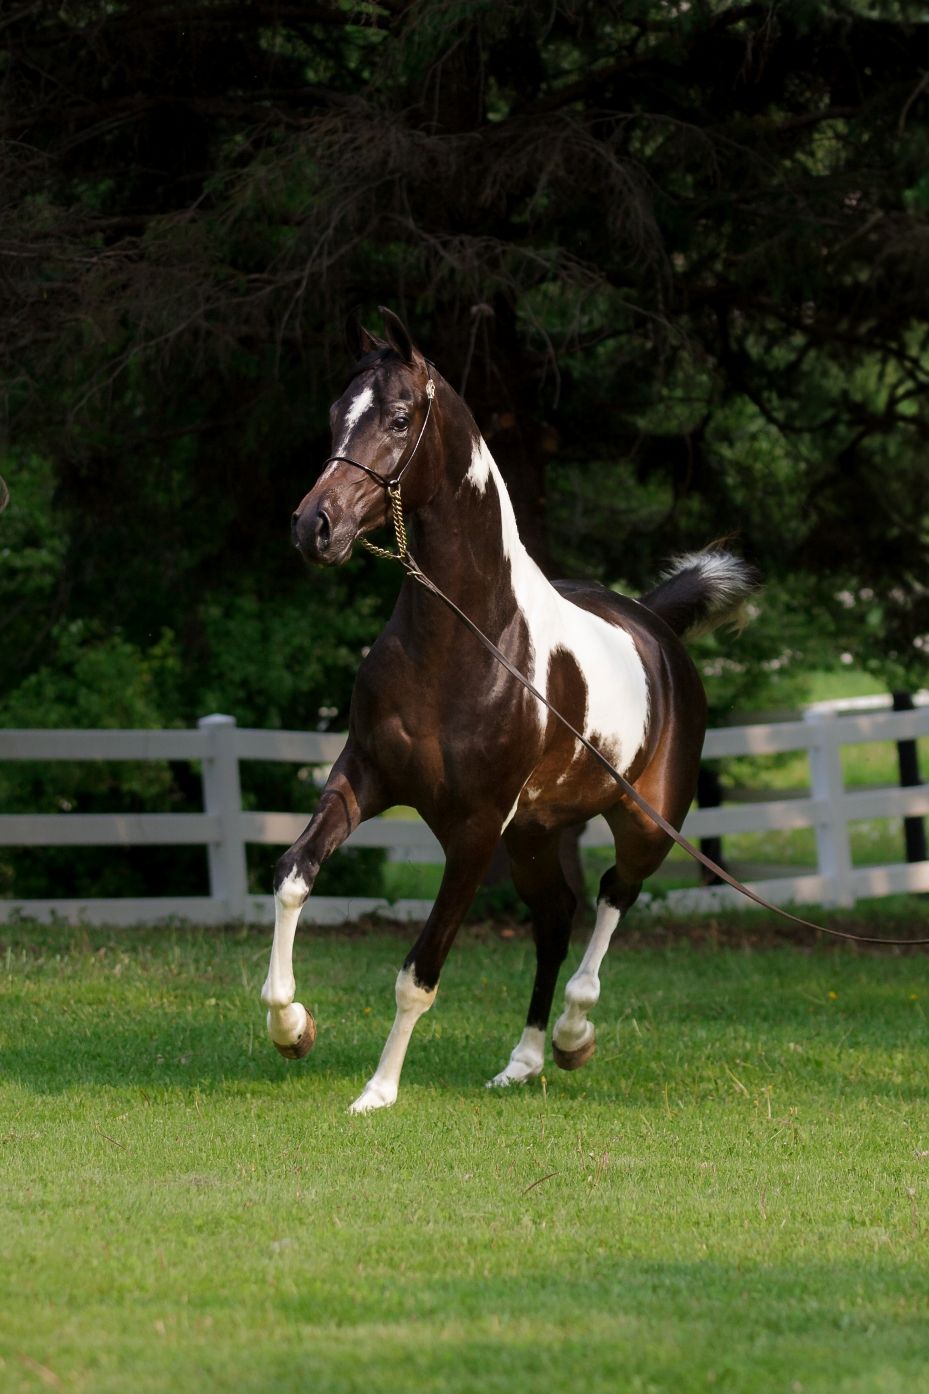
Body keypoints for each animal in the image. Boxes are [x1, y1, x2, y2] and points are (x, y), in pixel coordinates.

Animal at [261, 308, 758, 1113]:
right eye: (336, 413)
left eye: (399, 418)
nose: (315, 527)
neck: (466, 640)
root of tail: (655, 625)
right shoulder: (363, 780)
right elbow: (293, 875)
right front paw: (291, 1027)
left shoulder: (473, 829)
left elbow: (420, 969)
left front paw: (378, 1091)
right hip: (533, 835)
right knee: (555, 917)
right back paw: (521, 1061)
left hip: (644, 823)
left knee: (612, 898)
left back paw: (572, 1037)